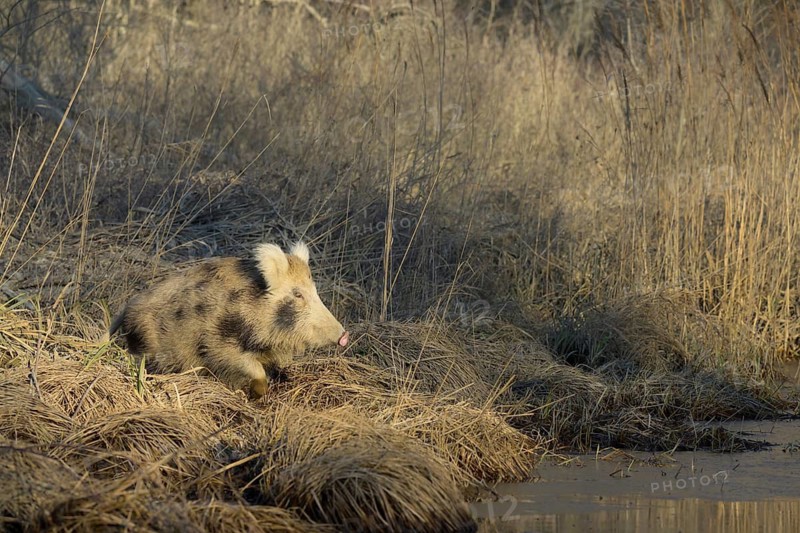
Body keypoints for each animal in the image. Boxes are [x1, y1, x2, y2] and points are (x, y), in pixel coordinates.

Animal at [108, 241, 349, 399]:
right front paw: (257, 394)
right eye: (297, 294)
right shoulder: (220, 345)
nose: (344, 335)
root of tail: (128, 307)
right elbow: (254, 370)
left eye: (314, 290)